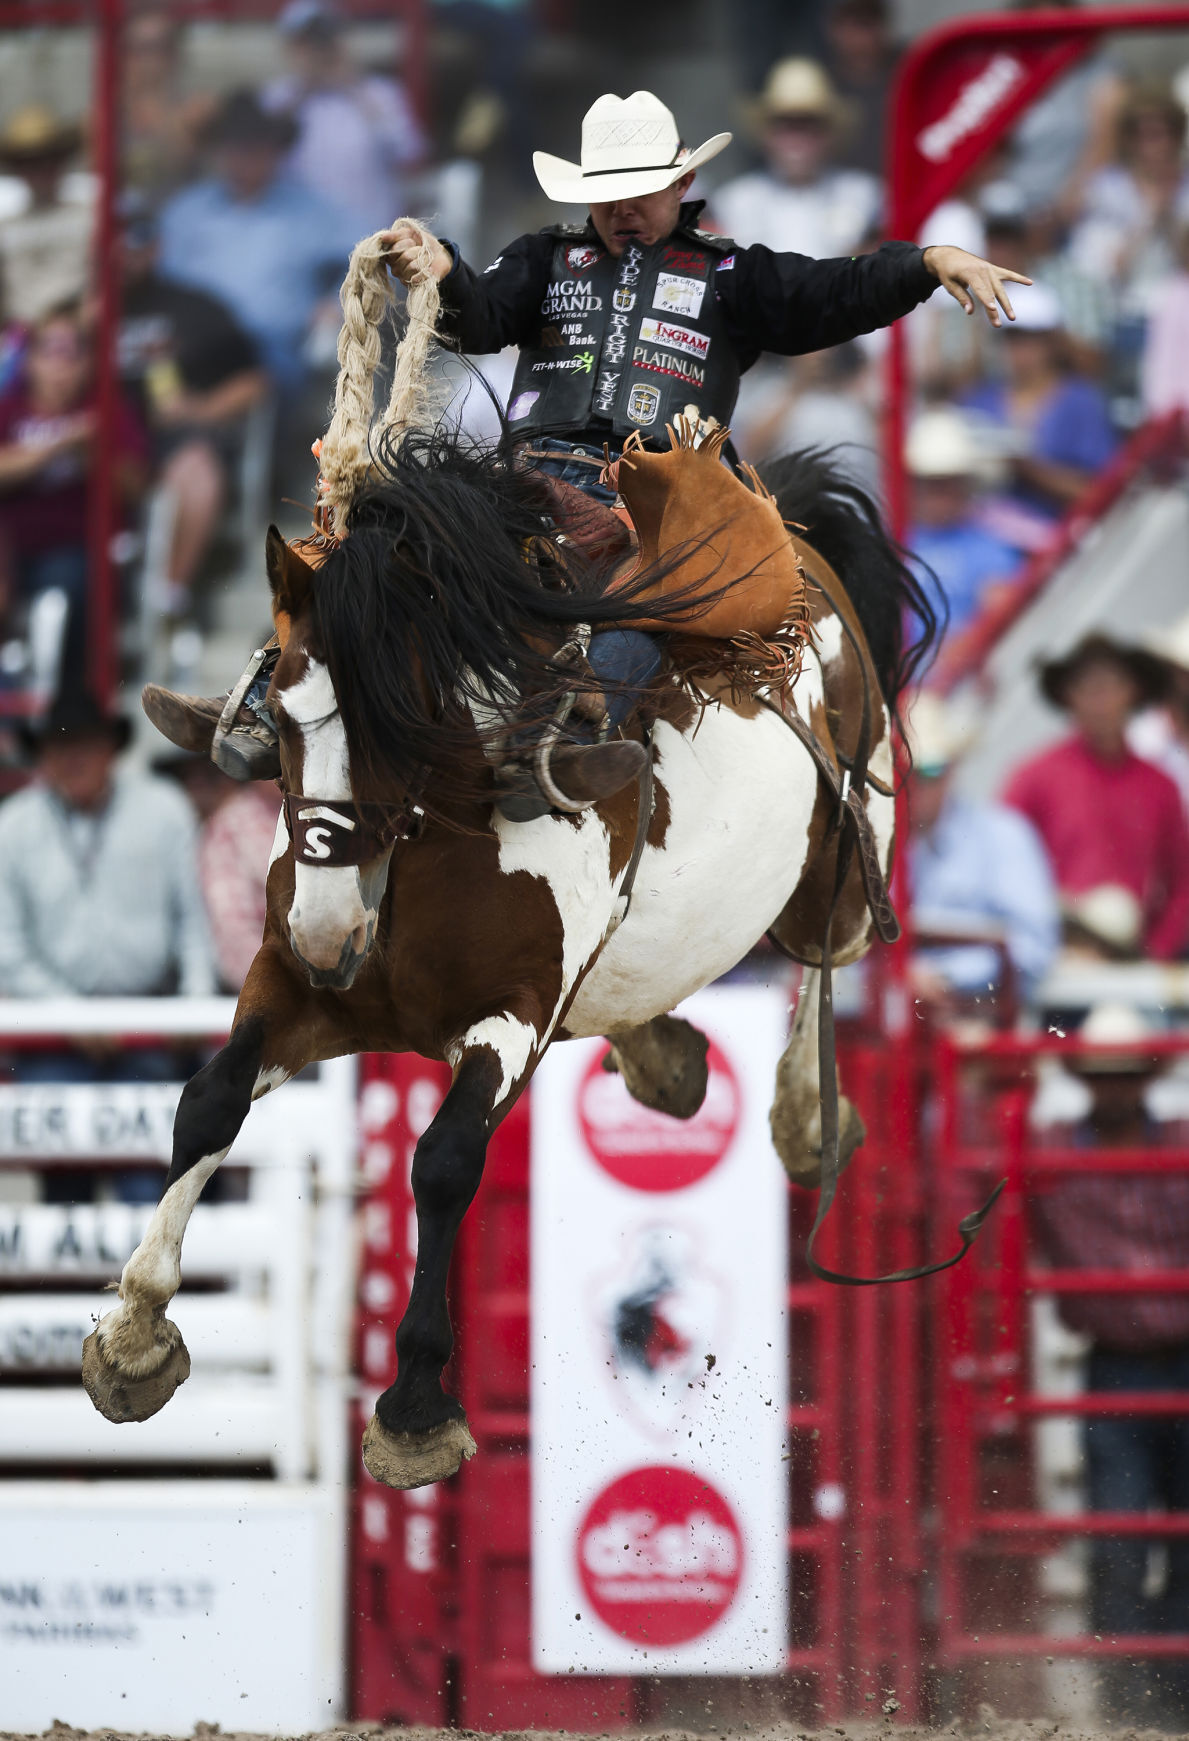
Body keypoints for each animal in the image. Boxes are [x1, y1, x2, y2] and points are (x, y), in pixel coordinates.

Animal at [79, 224, 953, 1490]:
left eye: (401, 719)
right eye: (281, 716)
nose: (339, 930)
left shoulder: (515, 1011)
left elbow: (444, 1161)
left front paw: (411, 1411)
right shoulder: (293, 980)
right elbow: (207, 1102)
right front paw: (134, 1336)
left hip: (840, 868)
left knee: (828, 964)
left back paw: (803, 1112)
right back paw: (661, 1054)